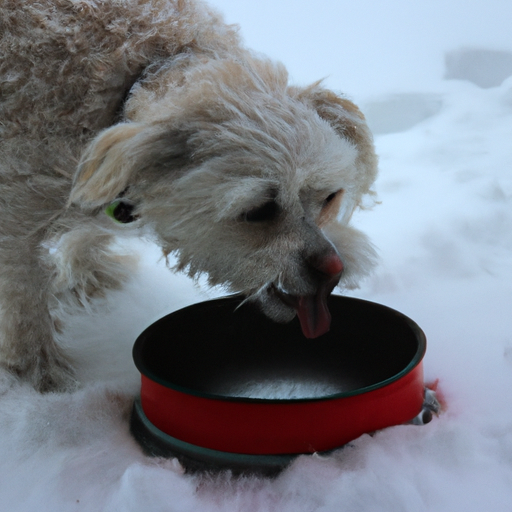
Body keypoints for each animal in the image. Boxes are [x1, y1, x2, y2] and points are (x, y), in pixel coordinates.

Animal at [0, 0, 376, 392]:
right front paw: (38, 371)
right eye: (258, 210)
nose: (334, 271)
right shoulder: (16, 211)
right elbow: (23, 292)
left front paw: (85, 272)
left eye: (330, 197)